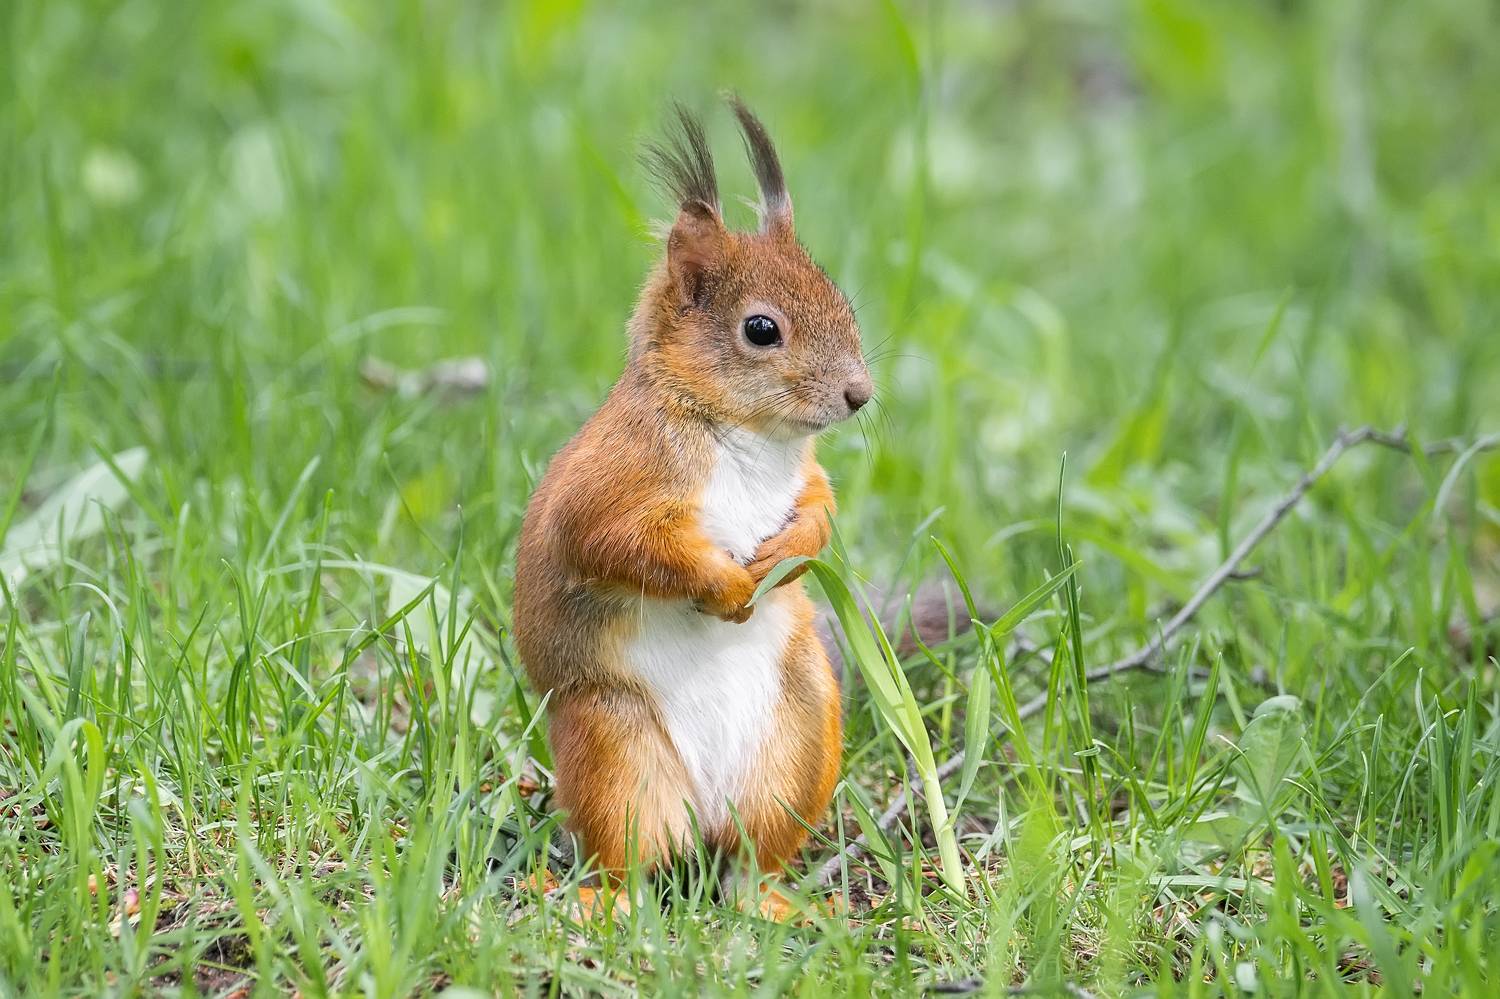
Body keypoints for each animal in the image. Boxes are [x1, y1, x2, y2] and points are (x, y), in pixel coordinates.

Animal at [513, 98, 872, 903]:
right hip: (615, 746)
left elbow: (820, 509)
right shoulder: (614, 485)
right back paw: (603, 904)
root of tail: (708, 812)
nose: (860, 395)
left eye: (844, 302)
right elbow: (619, 544)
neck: (748, 436)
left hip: (801, 733)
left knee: (754, 855)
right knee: (633, 857)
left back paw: (772, 903)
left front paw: (788, 550)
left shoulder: (806, 476)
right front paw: (729, 586)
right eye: (761, 329)